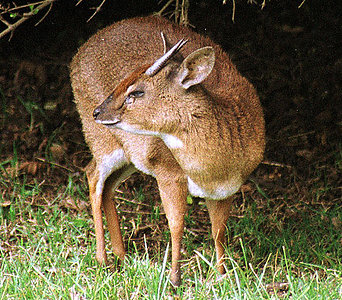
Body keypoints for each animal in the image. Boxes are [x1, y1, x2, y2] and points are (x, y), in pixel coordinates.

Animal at [71, 14, 266, 286]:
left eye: (137, 91)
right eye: (124, 81)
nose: (98, 111)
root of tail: (78, 55)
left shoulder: (226, 190)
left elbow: (218, 231)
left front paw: (222, 276)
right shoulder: (168, 173)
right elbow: (176, 224)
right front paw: (175, 278)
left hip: (130, 157)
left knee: (107, 185)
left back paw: (121, 256)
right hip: (103, 141)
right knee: (92, 176)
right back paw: (103, 260)